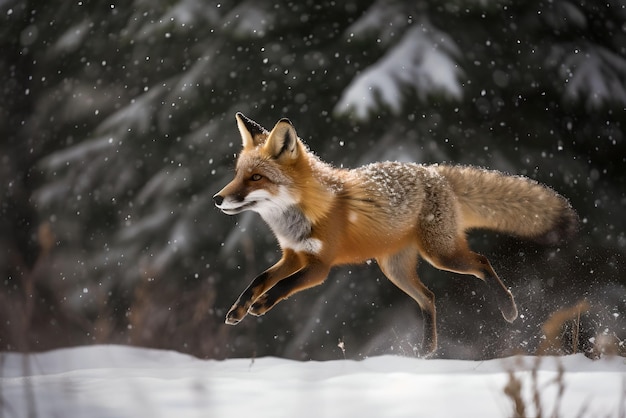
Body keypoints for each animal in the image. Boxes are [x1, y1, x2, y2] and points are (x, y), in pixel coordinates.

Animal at [213, 113, 576, 356]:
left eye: (256, 177)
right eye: (238, 175)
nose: (218, 199)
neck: (305, 212)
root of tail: (434, 171)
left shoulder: (319, 267)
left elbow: (283, 286)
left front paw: (261, 306)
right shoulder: (293, 255)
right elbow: (259, 279)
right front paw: (239, 310)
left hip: (442, 256)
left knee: (483, 262)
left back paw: (508, 308)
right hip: (395, 270)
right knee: (429, 297)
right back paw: (426, 350)